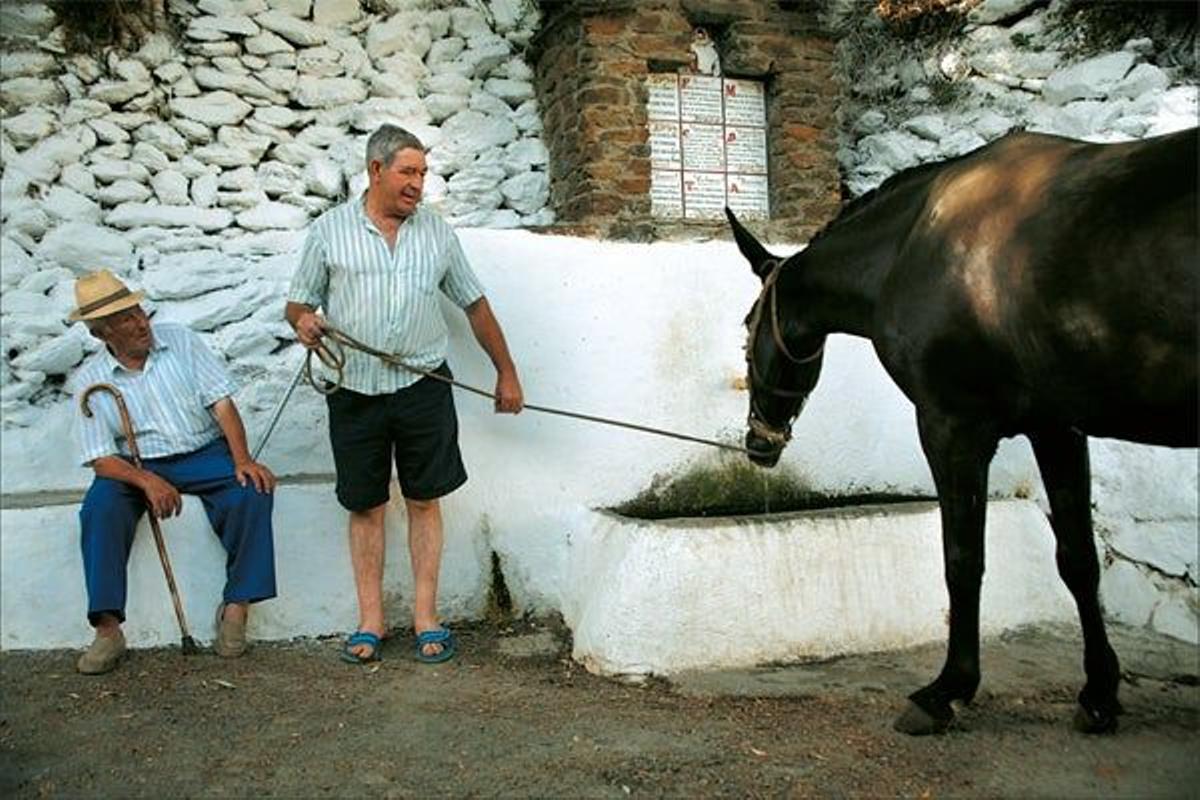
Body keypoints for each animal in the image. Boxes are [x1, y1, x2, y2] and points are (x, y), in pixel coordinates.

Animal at [724, 128, 1195, 734]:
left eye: (748, 325)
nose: (759, 441)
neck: (910, 246)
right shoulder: (1057, 428)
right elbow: (1077, 560)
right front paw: (1098, 691)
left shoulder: (952, 426)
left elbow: (962, 559)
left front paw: (946, 689)